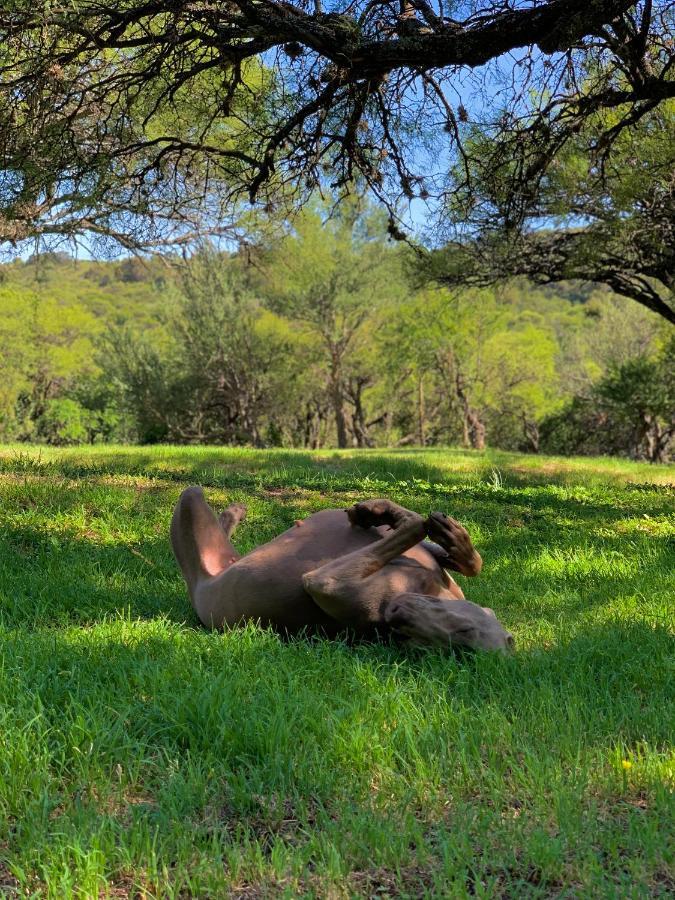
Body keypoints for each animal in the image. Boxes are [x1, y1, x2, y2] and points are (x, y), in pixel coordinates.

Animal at [172, 488, 516, 652]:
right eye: (465, 629)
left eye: (410, 640)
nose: (397, 615)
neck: (424, 588)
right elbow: (467, 562)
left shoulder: (329, 585)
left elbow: (413, 525)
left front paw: (388, 514)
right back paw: (234, 513)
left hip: (193, 513)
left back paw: (230, 513)